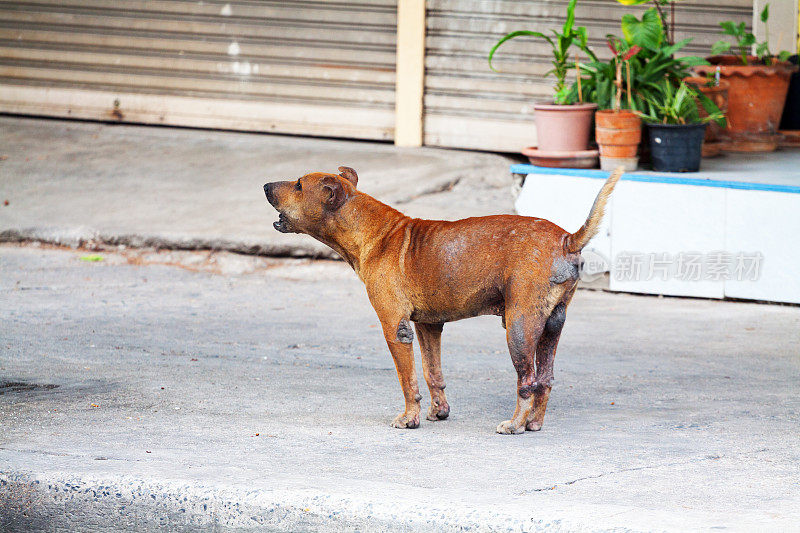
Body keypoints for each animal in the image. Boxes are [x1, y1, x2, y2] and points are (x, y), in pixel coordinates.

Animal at [266, 166, 620, 432]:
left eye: (298, 185)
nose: (266, 184)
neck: (374, 233)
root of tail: (566, 239)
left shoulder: (395, 327)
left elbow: (407, 379)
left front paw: (409, 418)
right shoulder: (429, 326)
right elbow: (431, 373)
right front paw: (439, 412)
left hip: (519, 328)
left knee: (528, 381)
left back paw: (515, 424)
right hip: (551, 327)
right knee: (545, 379)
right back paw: (533, 423)